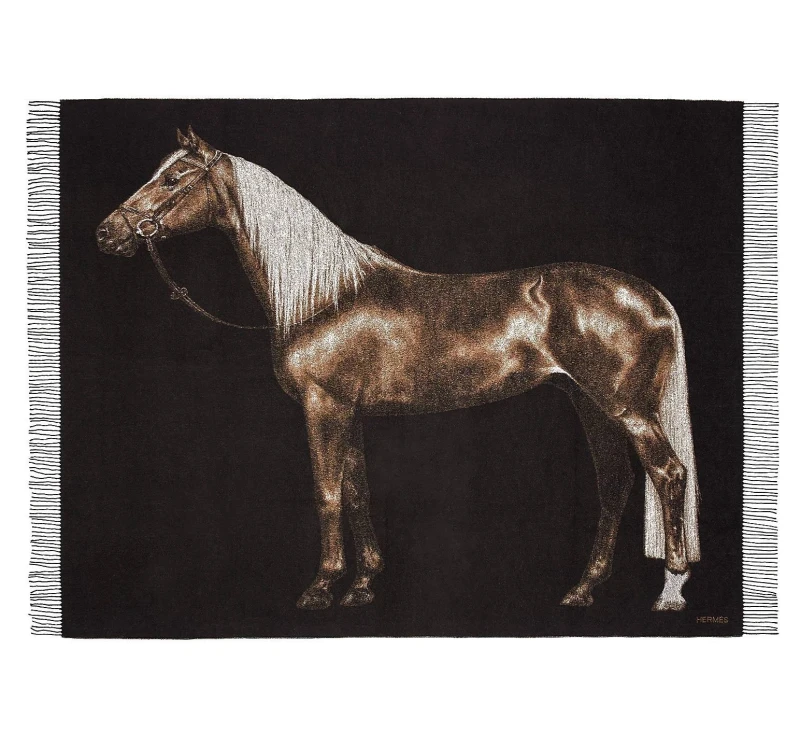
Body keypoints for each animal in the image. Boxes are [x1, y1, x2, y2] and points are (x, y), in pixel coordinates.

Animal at [96, 126, 700, 613]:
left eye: (174, 178)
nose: (107, 233)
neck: (326, 296)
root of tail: (651, 297)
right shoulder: (348, 410)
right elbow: (356, 491)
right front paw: (363, 586)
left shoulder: (324, 406)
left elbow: (327, 492)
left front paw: (321, 588)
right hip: (589, 403)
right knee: (616, 484)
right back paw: (581, 590)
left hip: (626, 408)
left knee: (668, 474)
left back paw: (670, 591)